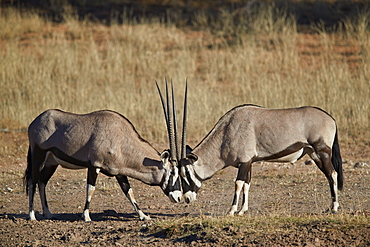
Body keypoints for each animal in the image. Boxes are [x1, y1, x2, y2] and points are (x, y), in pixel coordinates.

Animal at [23, 98, 183, 220]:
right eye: (172, 173)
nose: (179, 198)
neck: (120, 138)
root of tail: (35, 121)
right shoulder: (94, 166)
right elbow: (90, 189)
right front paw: (86, 216)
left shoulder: (119, 172)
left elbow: (129, 192)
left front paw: (143, 216)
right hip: (38, 157)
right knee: (32, 182)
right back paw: (32, 215)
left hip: (51, 163)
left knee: (42, 182)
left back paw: (48, 213)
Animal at [177, 103, 344, 214]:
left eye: (186, 174)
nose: (187, 198)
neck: (226, 132)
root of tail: (331, 119)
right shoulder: (248, 162)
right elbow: (247, 184)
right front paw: (242, 210)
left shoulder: (244, 161)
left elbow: (238, 183)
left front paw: (232, 210)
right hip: (314, 154)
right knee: (329, 175)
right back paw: (331, 206)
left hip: (322, 151)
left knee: (333, 174)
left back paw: (334, 208)